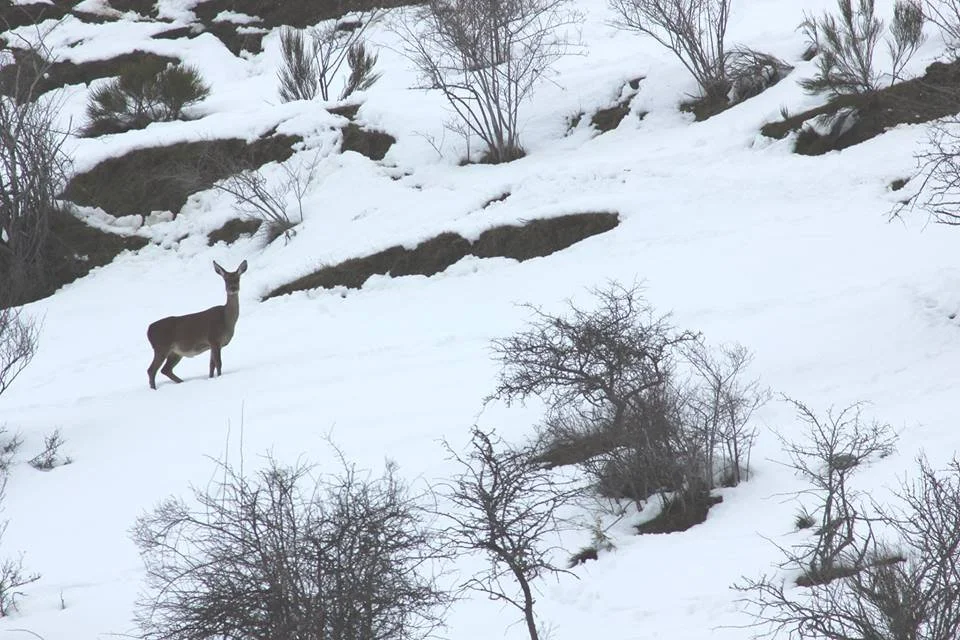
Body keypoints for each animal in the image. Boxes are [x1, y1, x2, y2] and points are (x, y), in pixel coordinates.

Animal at [147, 260, 247, 390]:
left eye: (237, 278)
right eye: (225, 279)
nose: (232, 288)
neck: (226, 320)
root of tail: (148, 330)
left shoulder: (213, 344)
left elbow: (211, 365)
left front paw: (211, 378)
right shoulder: (214, 339)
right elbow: (219, 363)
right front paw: (220, 377)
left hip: (174, 352)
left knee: (165, 370)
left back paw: (182, 382)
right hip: (161, 347)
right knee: (151, 370)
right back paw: (154, 389)